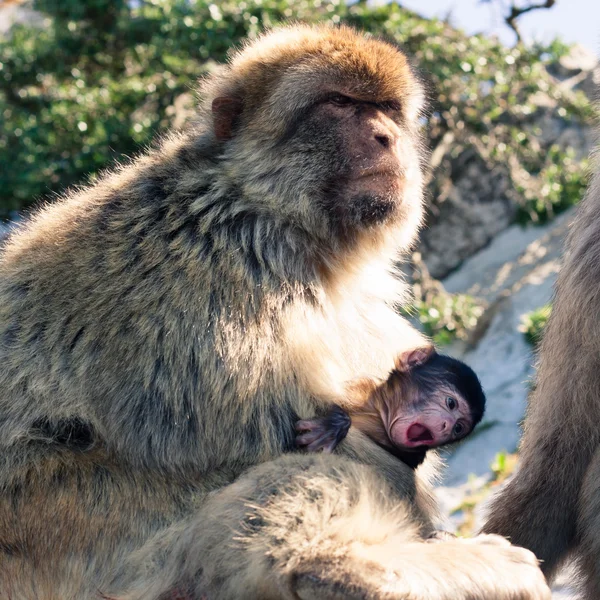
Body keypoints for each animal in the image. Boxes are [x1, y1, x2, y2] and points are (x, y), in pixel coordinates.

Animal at [296, 346, 488, 468]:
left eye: (458, 428)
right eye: (451, 403)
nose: (446, 426)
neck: (379, 414)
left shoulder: (413, 456)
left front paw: (334, 426)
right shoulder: (360, 386)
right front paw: (335, 422)